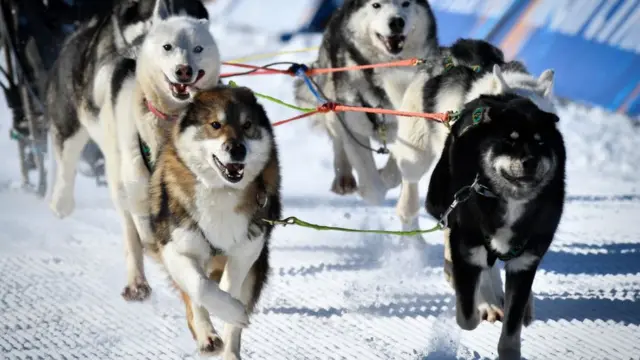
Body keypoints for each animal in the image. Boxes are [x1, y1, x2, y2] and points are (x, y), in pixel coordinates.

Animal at [150, 86, 282, 358]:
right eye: (215, 124)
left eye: (247, 125)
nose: (237, 149)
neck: (222, 191)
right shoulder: (175, 248)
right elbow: (200, 287)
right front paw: (219, 314)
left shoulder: (247, 251)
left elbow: (229, 288)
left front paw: (230, 309)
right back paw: (207, 336)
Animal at [424, 92, 564, 358]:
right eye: (510, 141)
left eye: (540, 143)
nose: (530, 162)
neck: (510, 201)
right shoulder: (467, 250)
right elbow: (467, 316)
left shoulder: (525, 262)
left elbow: (512, 324)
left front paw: (510, 347)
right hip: (439, 200)